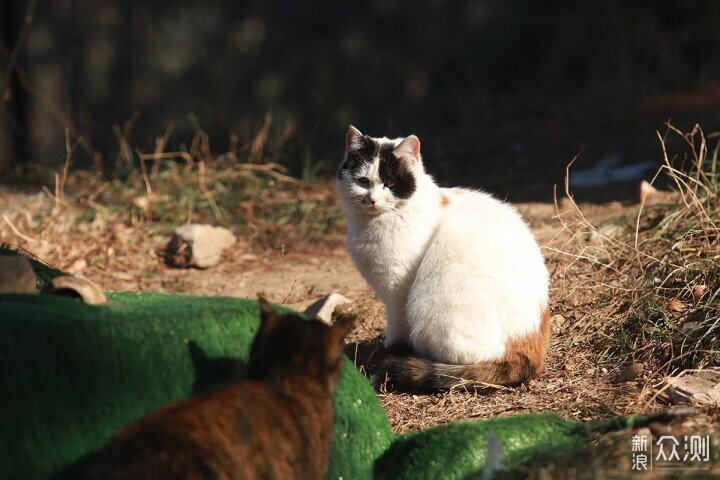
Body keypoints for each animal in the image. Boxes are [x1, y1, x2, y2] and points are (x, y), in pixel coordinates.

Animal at [338, 125, 552, 392]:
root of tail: (529, 347)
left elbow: (396, 330)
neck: (374, 224)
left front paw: (389, 353)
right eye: (363, 181)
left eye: (389, 183)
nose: (372, 199)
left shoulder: (398, 294)